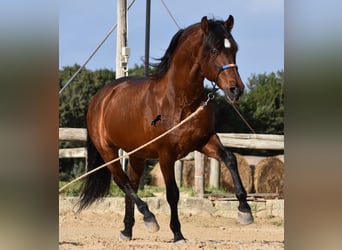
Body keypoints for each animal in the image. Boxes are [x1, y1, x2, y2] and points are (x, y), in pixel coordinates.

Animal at [79, 15, 252, 242]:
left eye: (235, 49)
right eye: (214, 50)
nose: (236, 90)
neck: (179, 101)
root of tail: (100, 97)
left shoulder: (205, 141)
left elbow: (230, 159)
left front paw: (245, 210)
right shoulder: (166, 155)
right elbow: (172, 193)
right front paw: (177, 233)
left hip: (137, 154)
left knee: (131, 184)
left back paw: (127, 230)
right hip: (108, 151)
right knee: (122, 181)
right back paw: (149, 218)